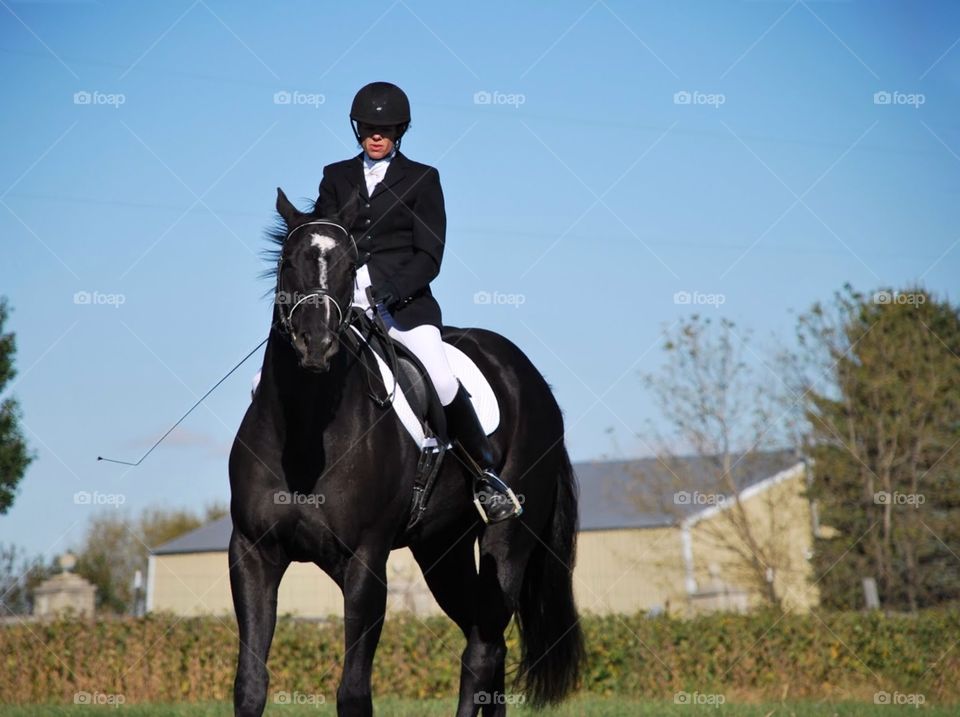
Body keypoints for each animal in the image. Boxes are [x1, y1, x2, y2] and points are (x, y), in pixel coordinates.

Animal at [228, 188, 584, 717]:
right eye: (288, 262)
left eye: (351, 263)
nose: (317, 344)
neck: (306, 432)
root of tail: (534, 380)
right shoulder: (253, 553)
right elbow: (250, 684)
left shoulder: (365, 561)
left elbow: (354, 692)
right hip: (441, 550)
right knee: (487, 641)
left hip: (508, 541)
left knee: (483, 647)